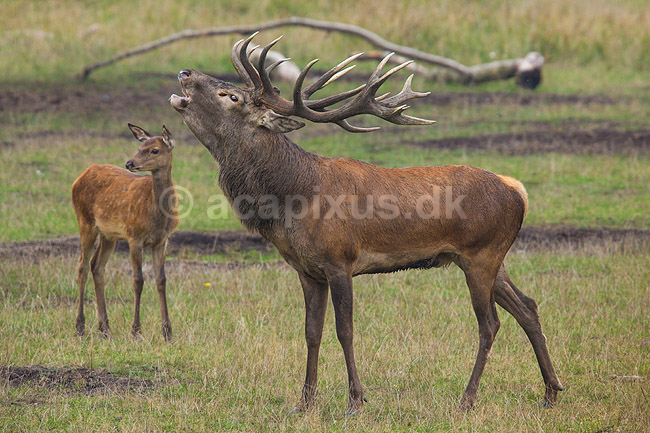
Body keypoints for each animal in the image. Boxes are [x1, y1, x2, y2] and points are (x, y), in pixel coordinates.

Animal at [71, 124, 178, 343]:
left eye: (154, 150)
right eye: (139, 147)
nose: (130, 163)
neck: (157, 217)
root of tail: (79, 177)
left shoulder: (161, 241)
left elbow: (161, 280)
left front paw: (168, 333)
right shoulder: (134, 236)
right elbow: (138, 280)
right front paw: (136, 331)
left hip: (108, 234)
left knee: (96, 266)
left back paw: (105, 328)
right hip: (85, 221)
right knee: (82, 267)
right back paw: (80, 327)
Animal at [169, 33, 563, 415]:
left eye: (231, 96)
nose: (184, 72)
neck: (291, 198)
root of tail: (518, 191)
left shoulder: (339, 260)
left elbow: (345, 331)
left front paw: (355, 402)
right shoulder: (307, 270)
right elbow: (312, 332)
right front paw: (304, 403)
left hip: (481, 254)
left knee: (490, 323)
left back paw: (467, 401)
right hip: (490, 258)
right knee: (528, 307)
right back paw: (551, 392)